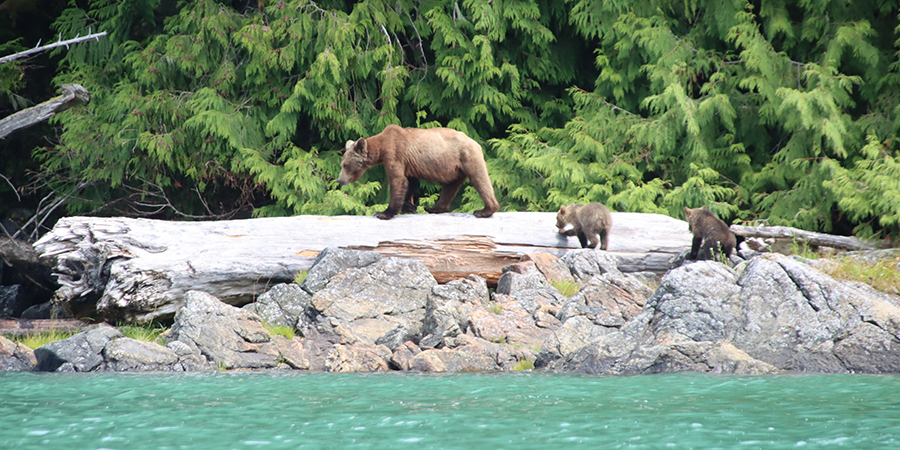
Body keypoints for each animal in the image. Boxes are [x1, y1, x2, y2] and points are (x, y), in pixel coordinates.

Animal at [336, 125, 500, 220]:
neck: (380, 148)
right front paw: (410, 206)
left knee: (480, 180)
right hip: (454, 167)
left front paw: (383, 212)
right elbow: (410, 181)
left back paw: (484, 210)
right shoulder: (408, 162)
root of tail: (475, 141)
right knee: (450, 186)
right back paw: (433, 208)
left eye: (345, 165)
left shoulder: (395, 152)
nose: (339, 180)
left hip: (467, 156)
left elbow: (397, 179)